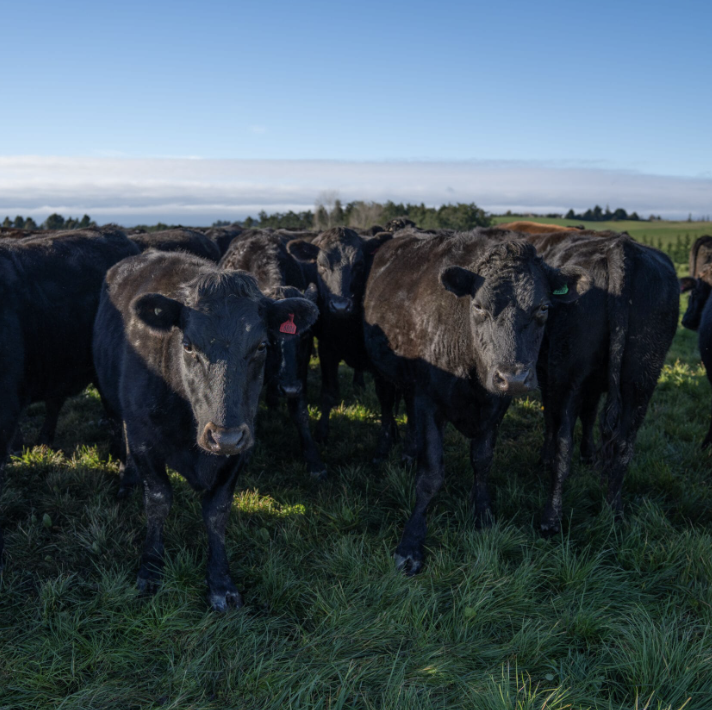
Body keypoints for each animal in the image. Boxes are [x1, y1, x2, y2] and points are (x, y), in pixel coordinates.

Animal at [220, 234, 326, 478]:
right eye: (268, 341)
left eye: (306, 336)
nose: (288, 389)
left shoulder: (300, 372)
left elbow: (300, 412)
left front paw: (313, 458)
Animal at [286, 228, 392, 442]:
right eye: (321, 264)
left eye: (359, 264)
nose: (340, 306)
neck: (347, 328)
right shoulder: (326, 349)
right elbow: (329, 393)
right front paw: (321, 431)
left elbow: (387, 399)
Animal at [362, 231, 588, 576]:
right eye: (479, 306)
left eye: (543, 308)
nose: (514, 377)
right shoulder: (428, 399)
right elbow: (431, 476)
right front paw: (411, 543)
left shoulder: (494, 406)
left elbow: (482, 460)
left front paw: (482, 514)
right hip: (384, 373)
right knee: (388, 406)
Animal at [528, 231, 680, 532]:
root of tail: (620, 248)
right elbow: (589, 414)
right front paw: (589, 455)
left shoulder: (547, 369)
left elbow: (557, 416)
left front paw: (547, 457)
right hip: (642, 377)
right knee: (624, 445)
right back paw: (614, 513)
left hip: (568, 369)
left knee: (564, 440)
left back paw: (551, 517)